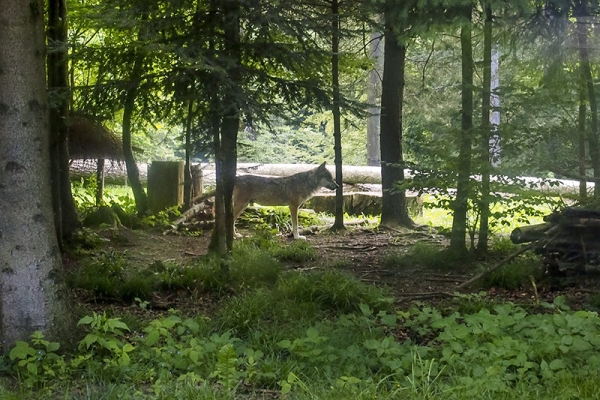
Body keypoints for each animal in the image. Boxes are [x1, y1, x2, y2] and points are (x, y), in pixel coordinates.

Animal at [195, 162, 340, 238]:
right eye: (329, 178)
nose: (338, 186)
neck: (304, 183)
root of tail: (237, 178)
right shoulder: (293, 207)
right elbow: (295, 225)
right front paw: (298, 237)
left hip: (242, 206)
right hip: (241, 205)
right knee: (230, 219)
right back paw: (233, 236)